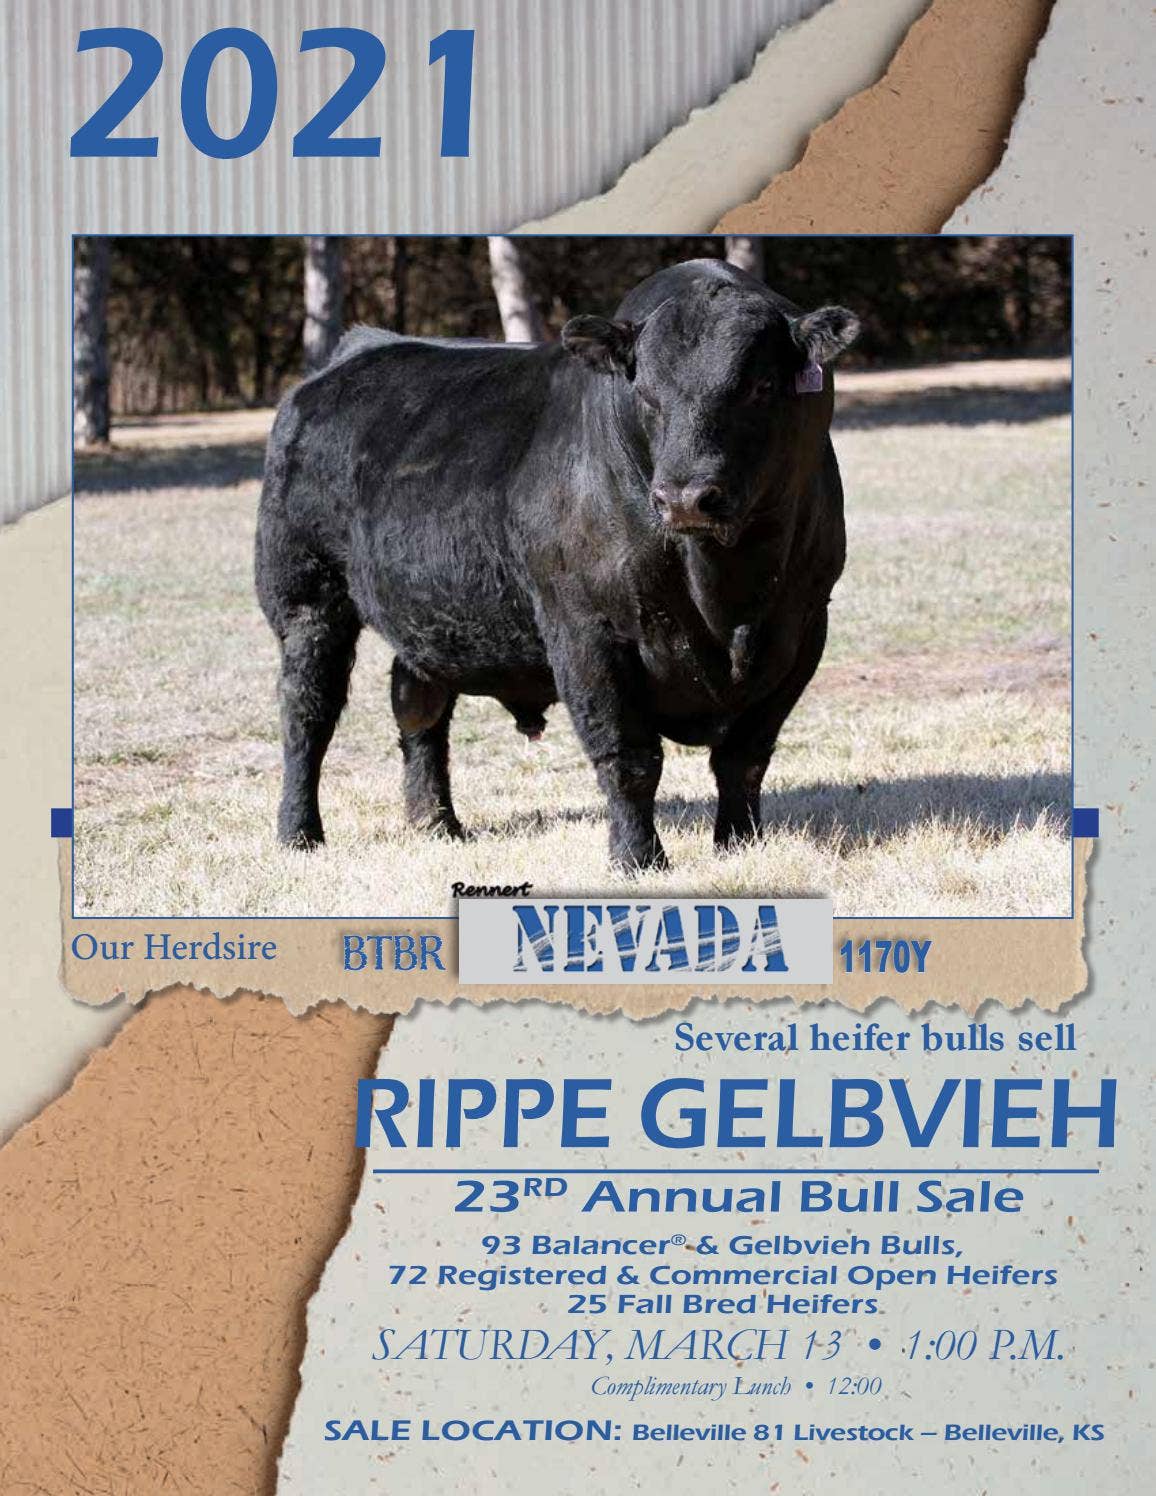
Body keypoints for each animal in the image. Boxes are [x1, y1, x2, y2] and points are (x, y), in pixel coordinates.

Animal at [255, 257, 858, 871]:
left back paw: (437, 823)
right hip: (307, 599)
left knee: (419, 705)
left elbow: (745, 755)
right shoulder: (586, 630)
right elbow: (628, 758)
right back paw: (299, 832)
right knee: (307, 713)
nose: (686, 498)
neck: (727, 597)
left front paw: (738, 844)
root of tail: (354, 351)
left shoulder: (803, 628)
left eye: (761, 386)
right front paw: (637, 858)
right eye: (645, 392)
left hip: (425, 613)